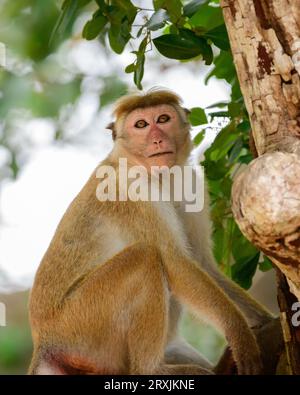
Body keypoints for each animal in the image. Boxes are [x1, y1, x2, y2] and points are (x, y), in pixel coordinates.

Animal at [28, 88, 278, 376]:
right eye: (141, 125)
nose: (157, 139)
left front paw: (268, 321)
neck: (158, 176)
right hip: (81, 324)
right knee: (145, 257)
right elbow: (174, 261)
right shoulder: (129, 191)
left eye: (163, 119)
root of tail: (44, 342)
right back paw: (153, 369)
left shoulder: (191, 184)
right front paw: (240, 336)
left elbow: (202, 263)